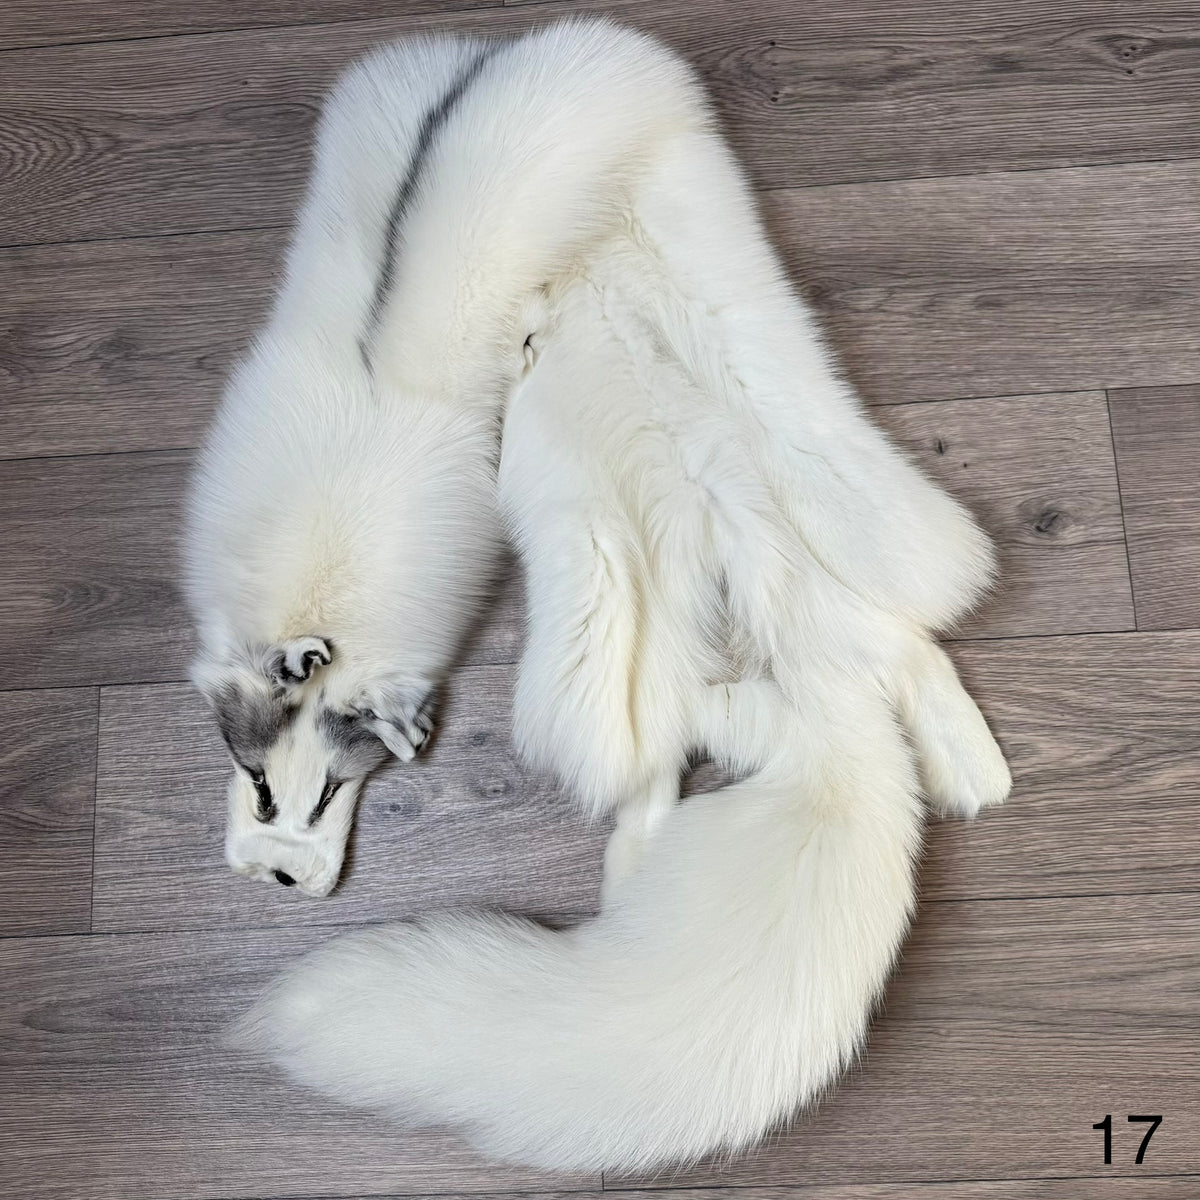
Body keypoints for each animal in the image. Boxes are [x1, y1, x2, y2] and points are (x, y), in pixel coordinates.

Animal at [212, 19, 1011, 1174]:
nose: (536, 327)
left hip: (623, 662)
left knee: (659, 768)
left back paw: (637, 860)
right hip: (851, 561)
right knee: (909, 652)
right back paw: (974, 773)